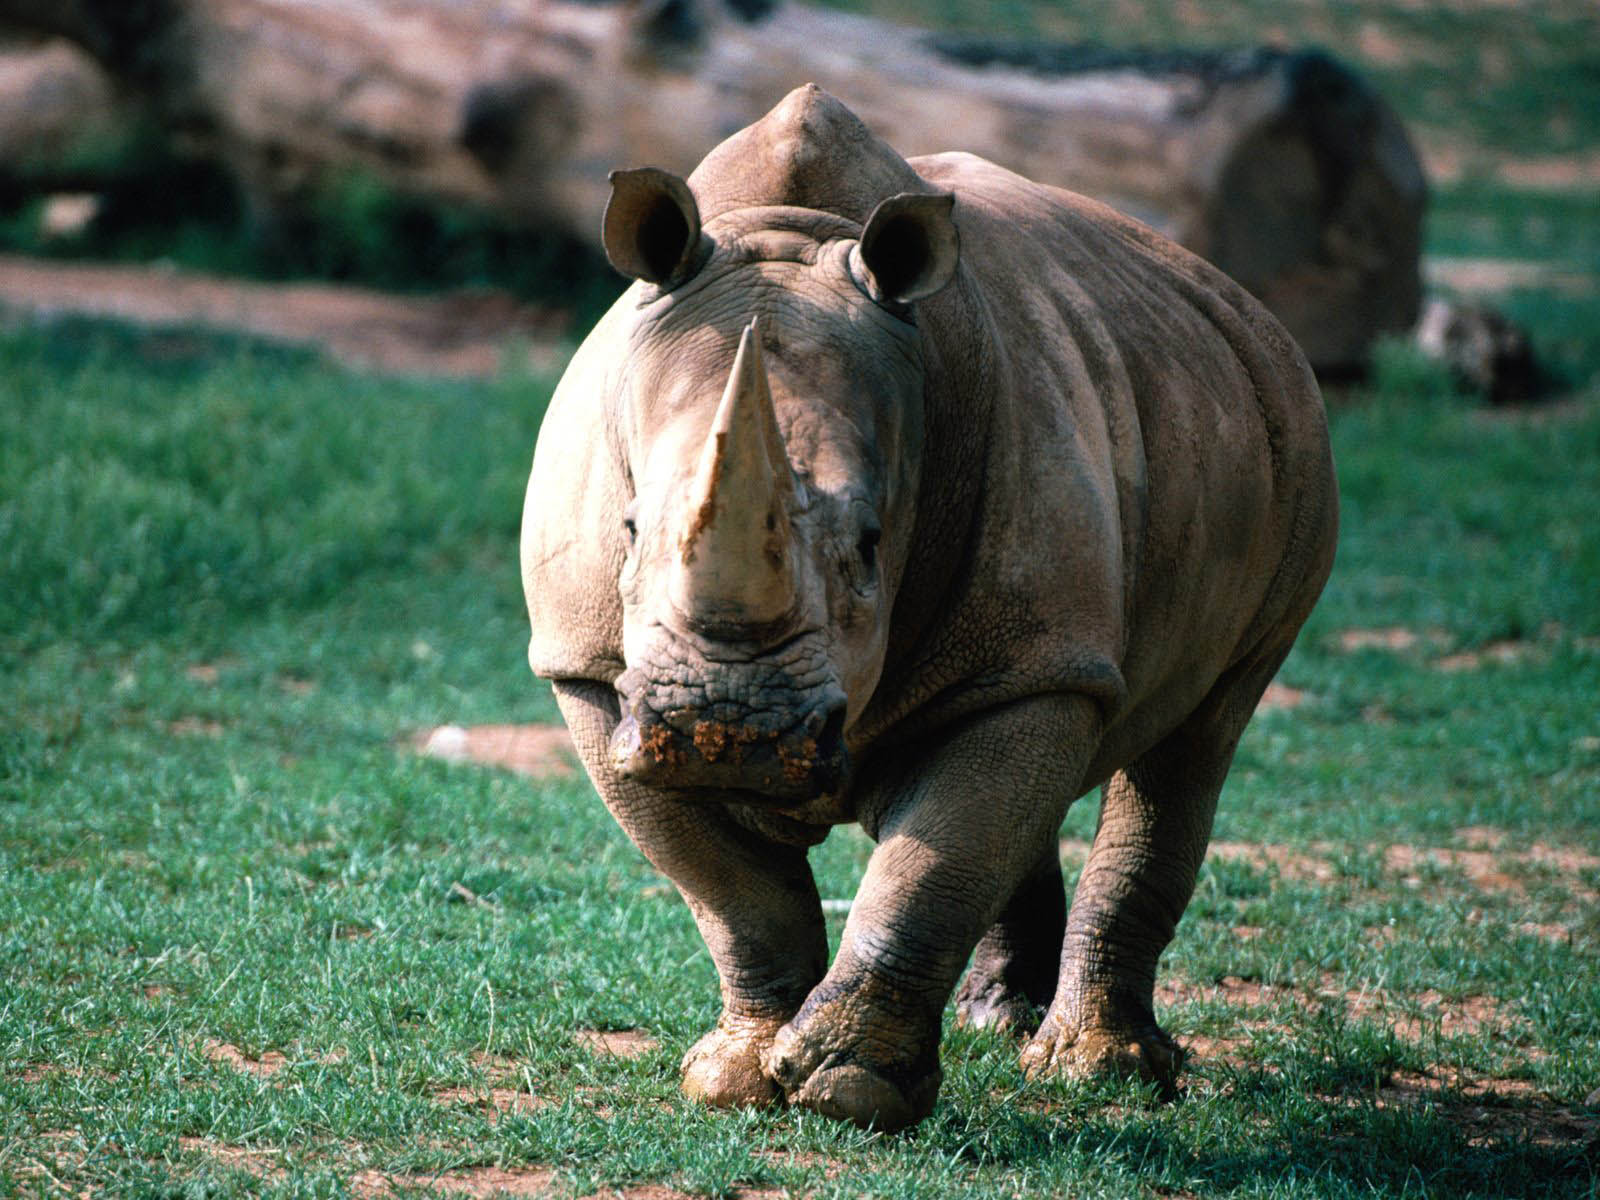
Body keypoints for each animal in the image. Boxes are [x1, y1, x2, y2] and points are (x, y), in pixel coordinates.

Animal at [521, 84, 1338, 1131]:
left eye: (873, 545)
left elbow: (932, 864)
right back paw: (1003, 1022)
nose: (732, 729)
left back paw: (1099, 1073)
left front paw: (850, 1092)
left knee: (1196, 740)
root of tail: (1237, 296)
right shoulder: (588, 669)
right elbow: (738, 892)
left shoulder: (1038, 656)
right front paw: (736, 1079)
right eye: (628, 529)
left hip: (1292, 438)